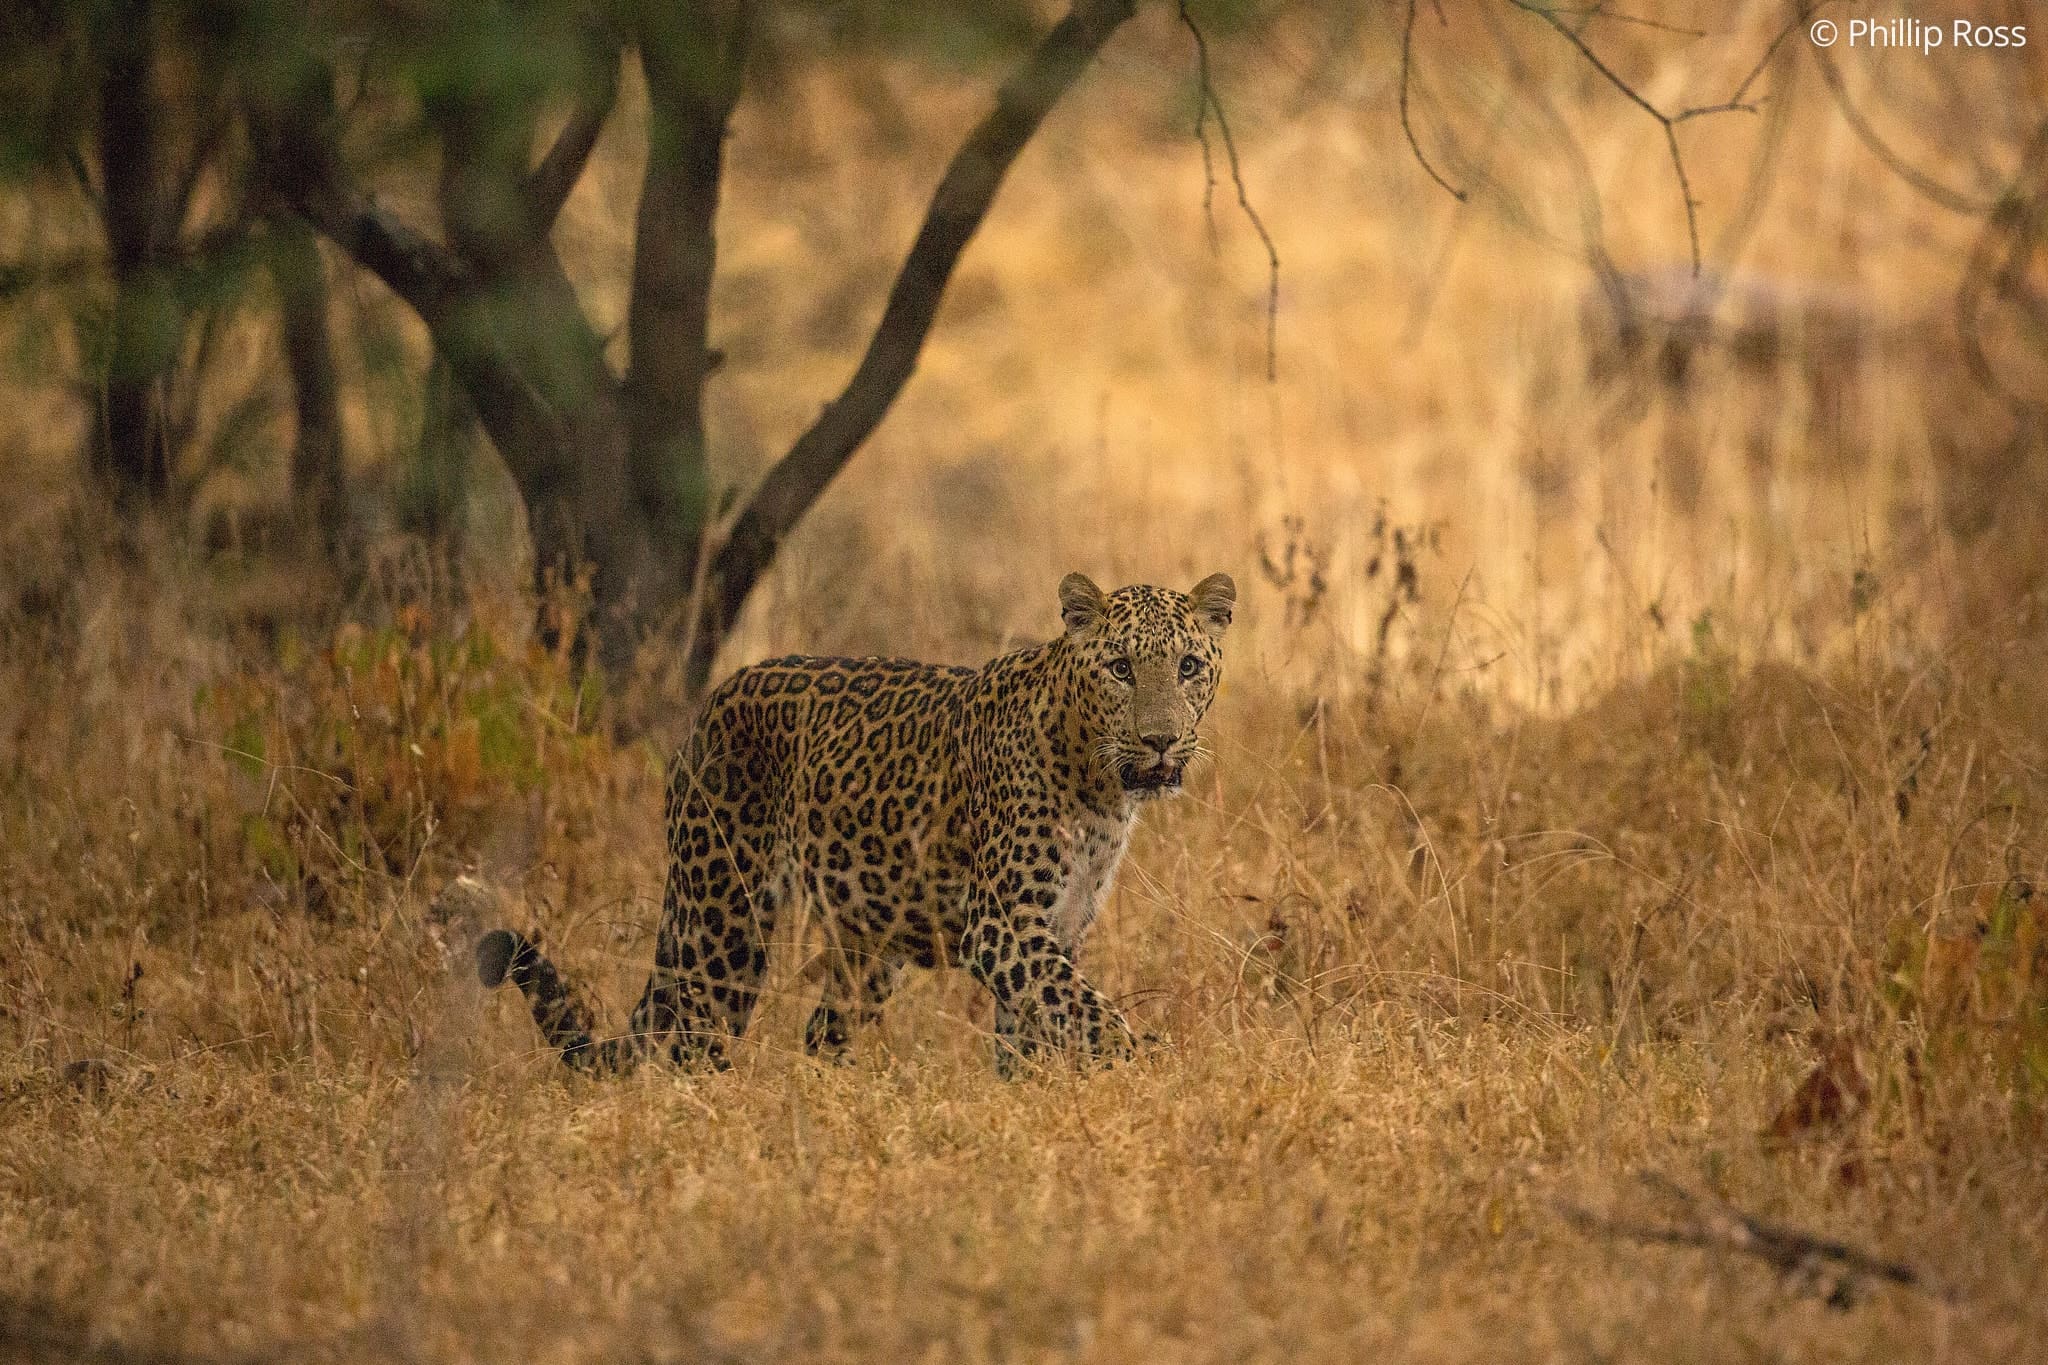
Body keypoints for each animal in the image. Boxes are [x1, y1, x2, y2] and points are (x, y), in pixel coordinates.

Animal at [479, 568, 1228, 1080]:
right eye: (1121, 668)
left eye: (1188, 666)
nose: (1161, 741)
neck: (1102, 788)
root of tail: (713, 700)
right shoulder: (1003, 925)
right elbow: (1085, 1007)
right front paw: (1147, 1066)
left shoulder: (1057, 927)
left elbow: (1043, 1020)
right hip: (724, 918)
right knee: (694, 1039)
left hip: (867, 938)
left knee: (818, 1030)